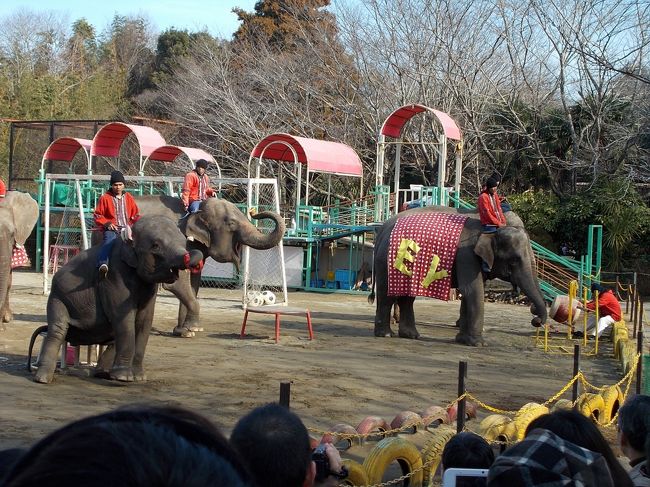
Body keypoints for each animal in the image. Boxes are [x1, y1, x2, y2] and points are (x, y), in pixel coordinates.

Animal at [29, 215, 201, 384]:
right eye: (156, 246)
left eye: (183, 241)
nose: (189, 257)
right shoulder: (114, 277)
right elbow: (124, 319)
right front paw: (124, 378)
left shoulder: (148, 287)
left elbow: (144, 321)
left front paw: (139, 378)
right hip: (57, 298)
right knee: (57, 330)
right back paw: (43, 379)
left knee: (111, 337)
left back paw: (102, 373)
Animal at [134, 193, 284, 336]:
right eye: (231, 223)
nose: (253, 212)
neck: (195, 211)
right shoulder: (174, 246)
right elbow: (177, 282)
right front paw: (192, 329)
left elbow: (193, 282)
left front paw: (186, 331)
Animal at [368, 206, 544, 346]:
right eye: (514, 260)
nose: (535, 318)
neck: (489, 229)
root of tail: (382, 229)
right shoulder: (466, 255)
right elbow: (472, 291)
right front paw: (478, 344)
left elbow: (468, 293)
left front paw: (462, 340)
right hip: (387, 262)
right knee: (387, 296)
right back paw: (386, 334)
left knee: (407, 297)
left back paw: (411, 335)